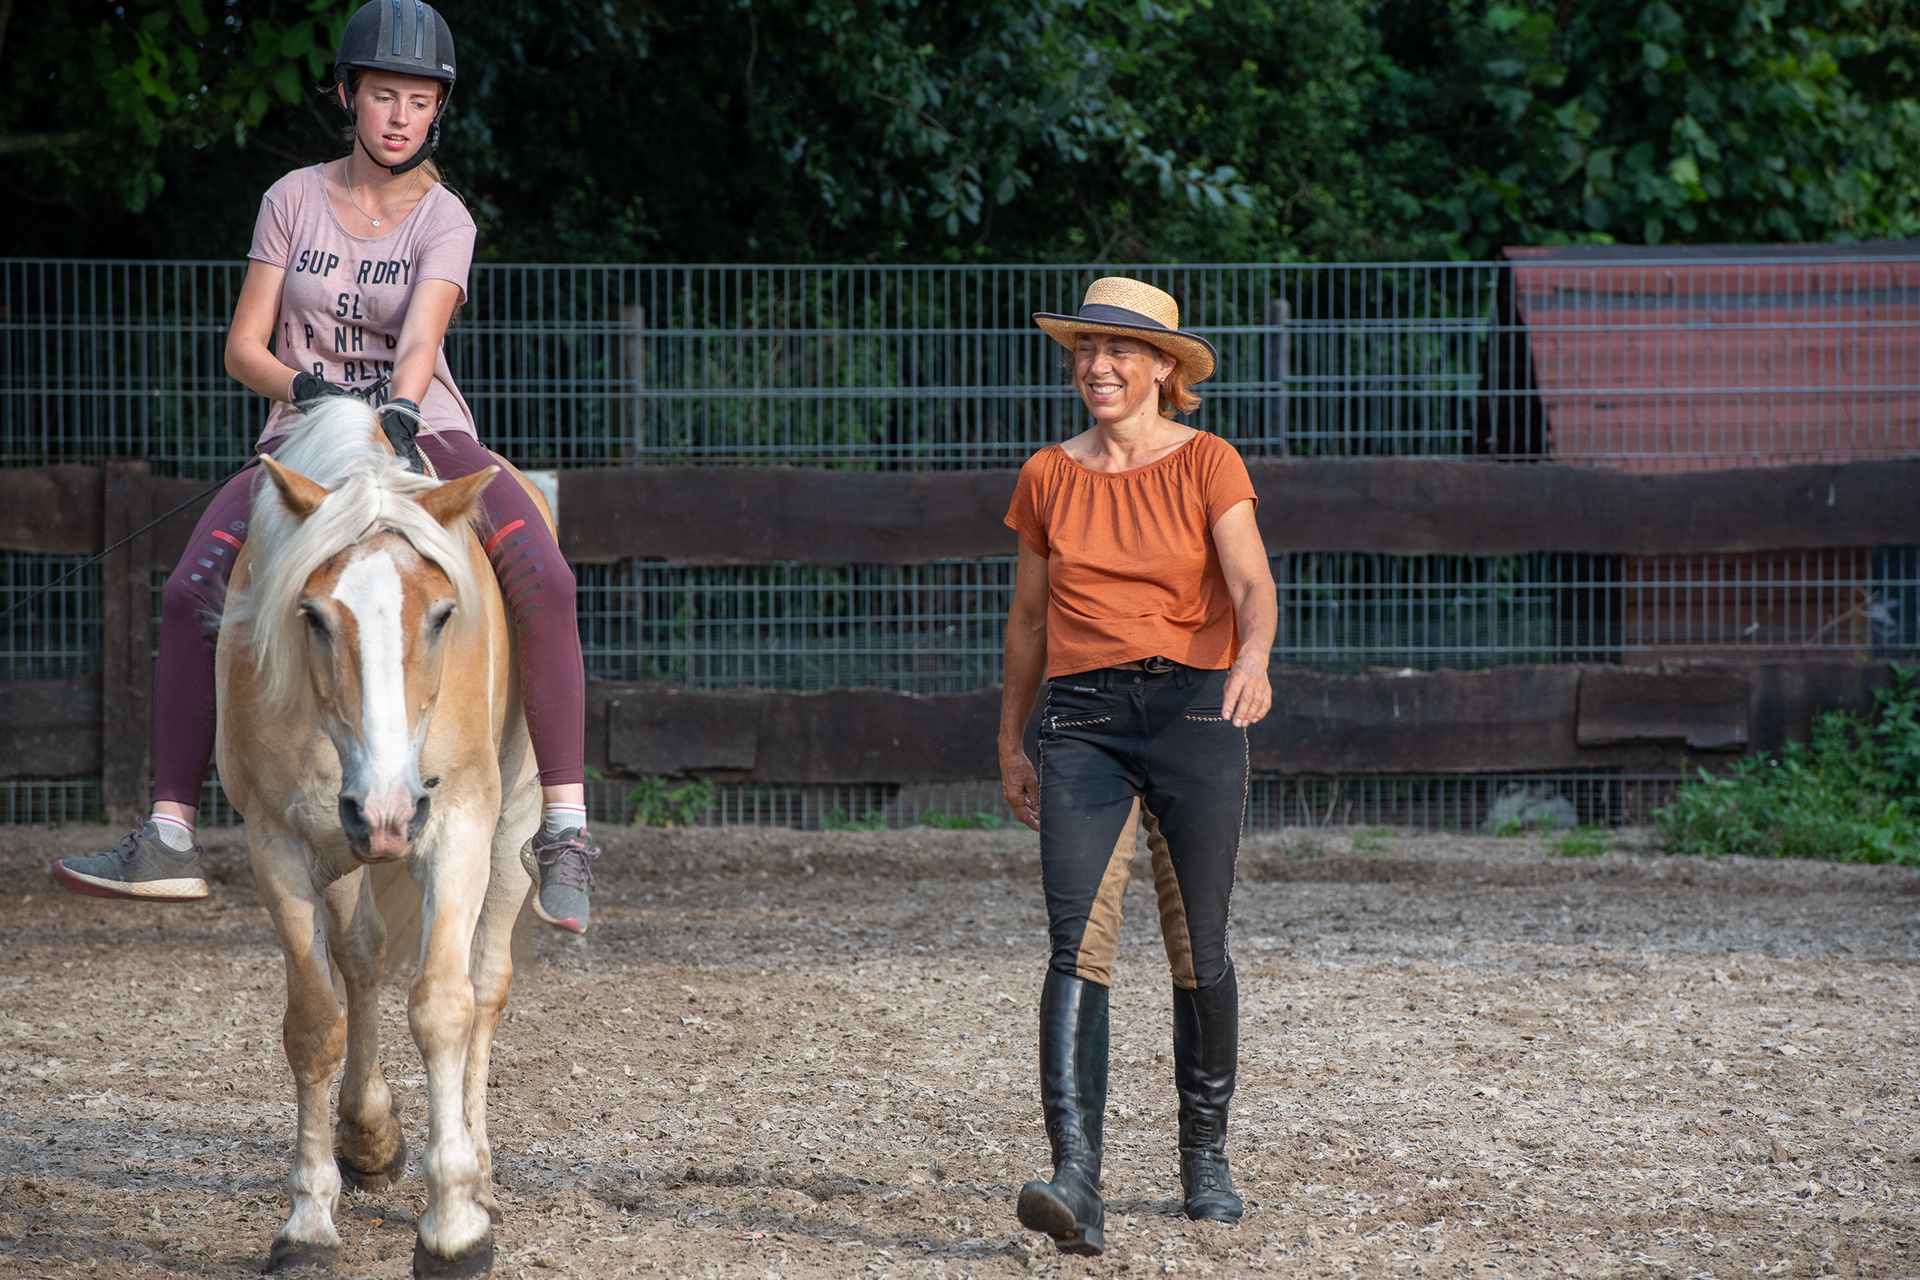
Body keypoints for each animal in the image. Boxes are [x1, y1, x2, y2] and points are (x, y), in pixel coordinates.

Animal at [214, 398, 546, 1277]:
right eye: (312, 616)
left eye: (441, 615)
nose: (391, 809)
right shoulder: (281, 845)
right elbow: (313, 1022)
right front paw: (307, 1221)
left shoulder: (458, 829)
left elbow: (443, 1006)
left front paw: (456, 1225)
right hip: (342, 850)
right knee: (360, 956)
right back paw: (368, 1136)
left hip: (514, 825)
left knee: (486, 983)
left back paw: (482, 1172)